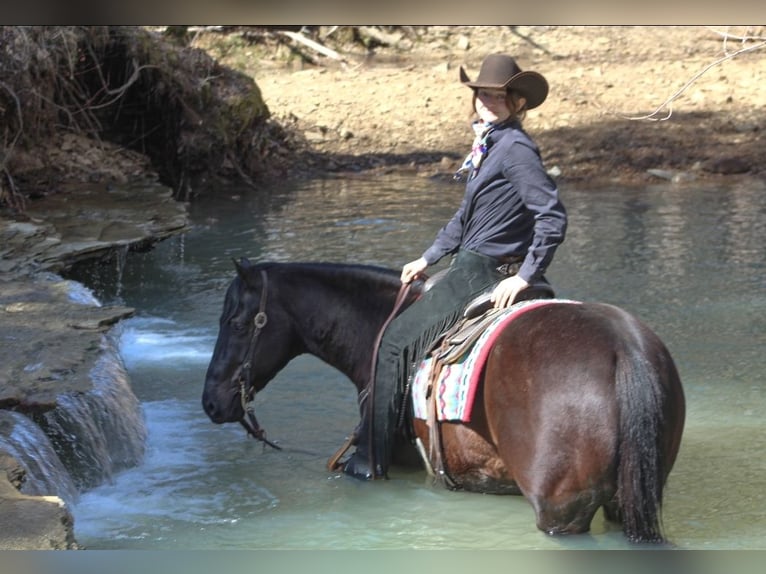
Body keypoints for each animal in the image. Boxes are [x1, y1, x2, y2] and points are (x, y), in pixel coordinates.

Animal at [202, 258, 685, 544]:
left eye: (237, 322)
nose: (210, 402)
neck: (378, 328)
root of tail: (623, 348)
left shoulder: (370, 463)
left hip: (561, 512)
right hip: (626, 498)